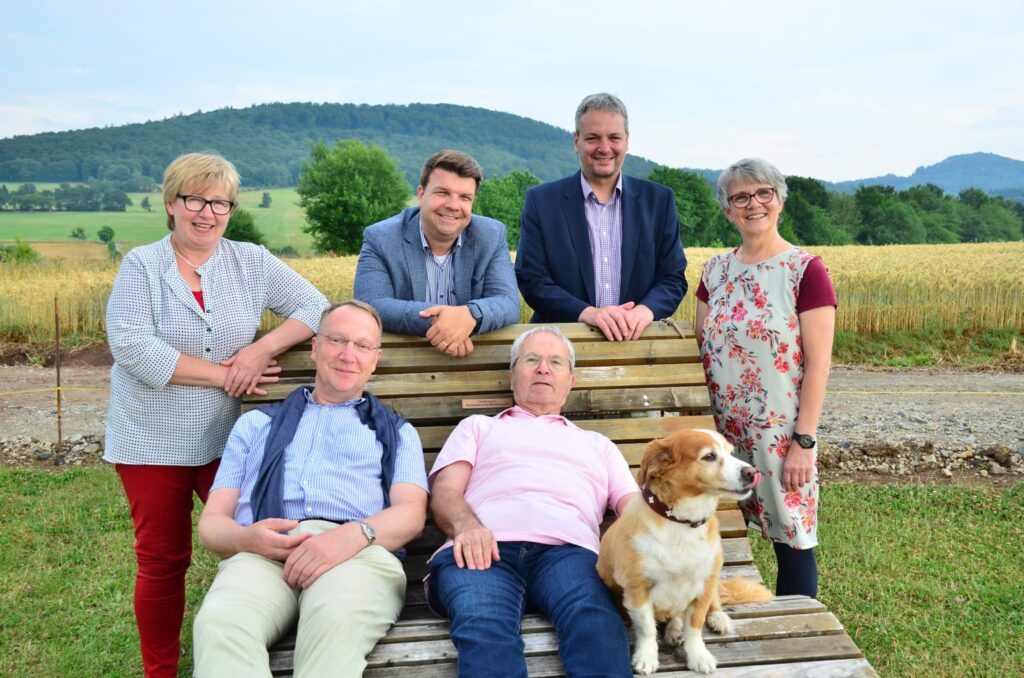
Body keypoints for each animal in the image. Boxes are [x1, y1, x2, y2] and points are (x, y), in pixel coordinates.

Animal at [598, 430, 770, 675]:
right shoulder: (638, 589)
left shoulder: (703, 586)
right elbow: (647, 628)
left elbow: (695, 627)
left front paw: (698, 656)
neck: (682, 522)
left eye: (730, 452)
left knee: (712, 604)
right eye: (709, 456)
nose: (752, 472)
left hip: (713, 580)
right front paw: (646, 657)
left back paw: (715, 619)